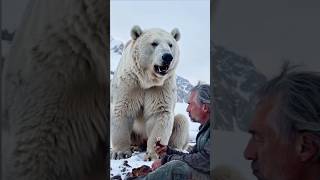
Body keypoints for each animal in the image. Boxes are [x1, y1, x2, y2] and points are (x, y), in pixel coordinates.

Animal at [111, 25, 189, 160]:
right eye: (154, 43)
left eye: (170, 44)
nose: (167, 57)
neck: (146, 80)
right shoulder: (130, 82)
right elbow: (123, 109)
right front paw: (120, 152)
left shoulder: (161, 86)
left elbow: (160, 113)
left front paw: (153, 155)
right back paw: (134, 146)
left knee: (181, 121)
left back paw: (174, 148)